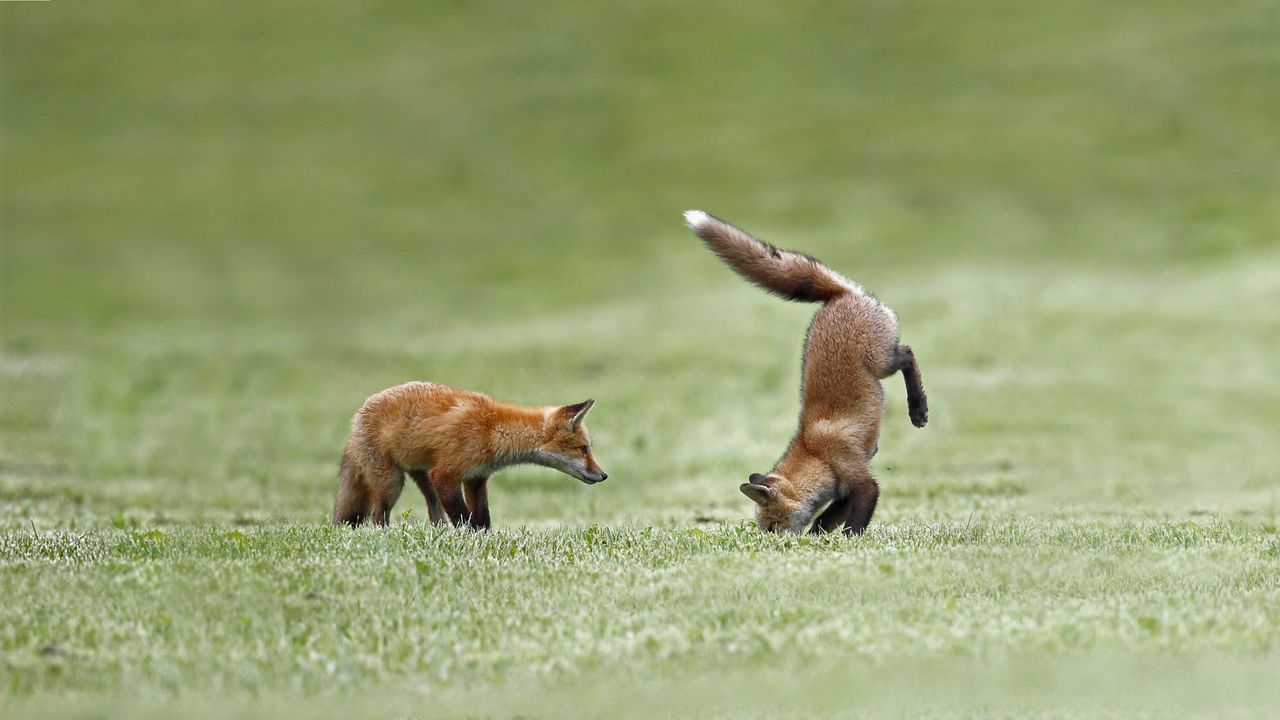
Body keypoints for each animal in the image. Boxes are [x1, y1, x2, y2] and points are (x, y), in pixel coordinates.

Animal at [332, 381, 607, 528]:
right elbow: (464, 517)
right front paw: (469, 539)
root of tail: (356, 418)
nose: (603, 475)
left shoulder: (476, 479)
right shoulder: (445, 474)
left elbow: (482, 519)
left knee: (434, 511)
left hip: (423, 477)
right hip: (391, 483)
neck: (492, 431)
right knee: (377, 515)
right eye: (584, 448)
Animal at [684, 210, 928, 535]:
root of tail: (837, 296)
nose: (773, 542)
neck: (815, 453)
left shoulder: (859, 478)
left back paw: (918, 409)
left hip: (881, 362)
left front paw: (849, 542)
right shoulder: (842, 494)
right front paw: (817, 540)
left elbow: (855, 521)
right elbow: (823, 522)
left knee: (908, 355)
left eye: (772, 526)